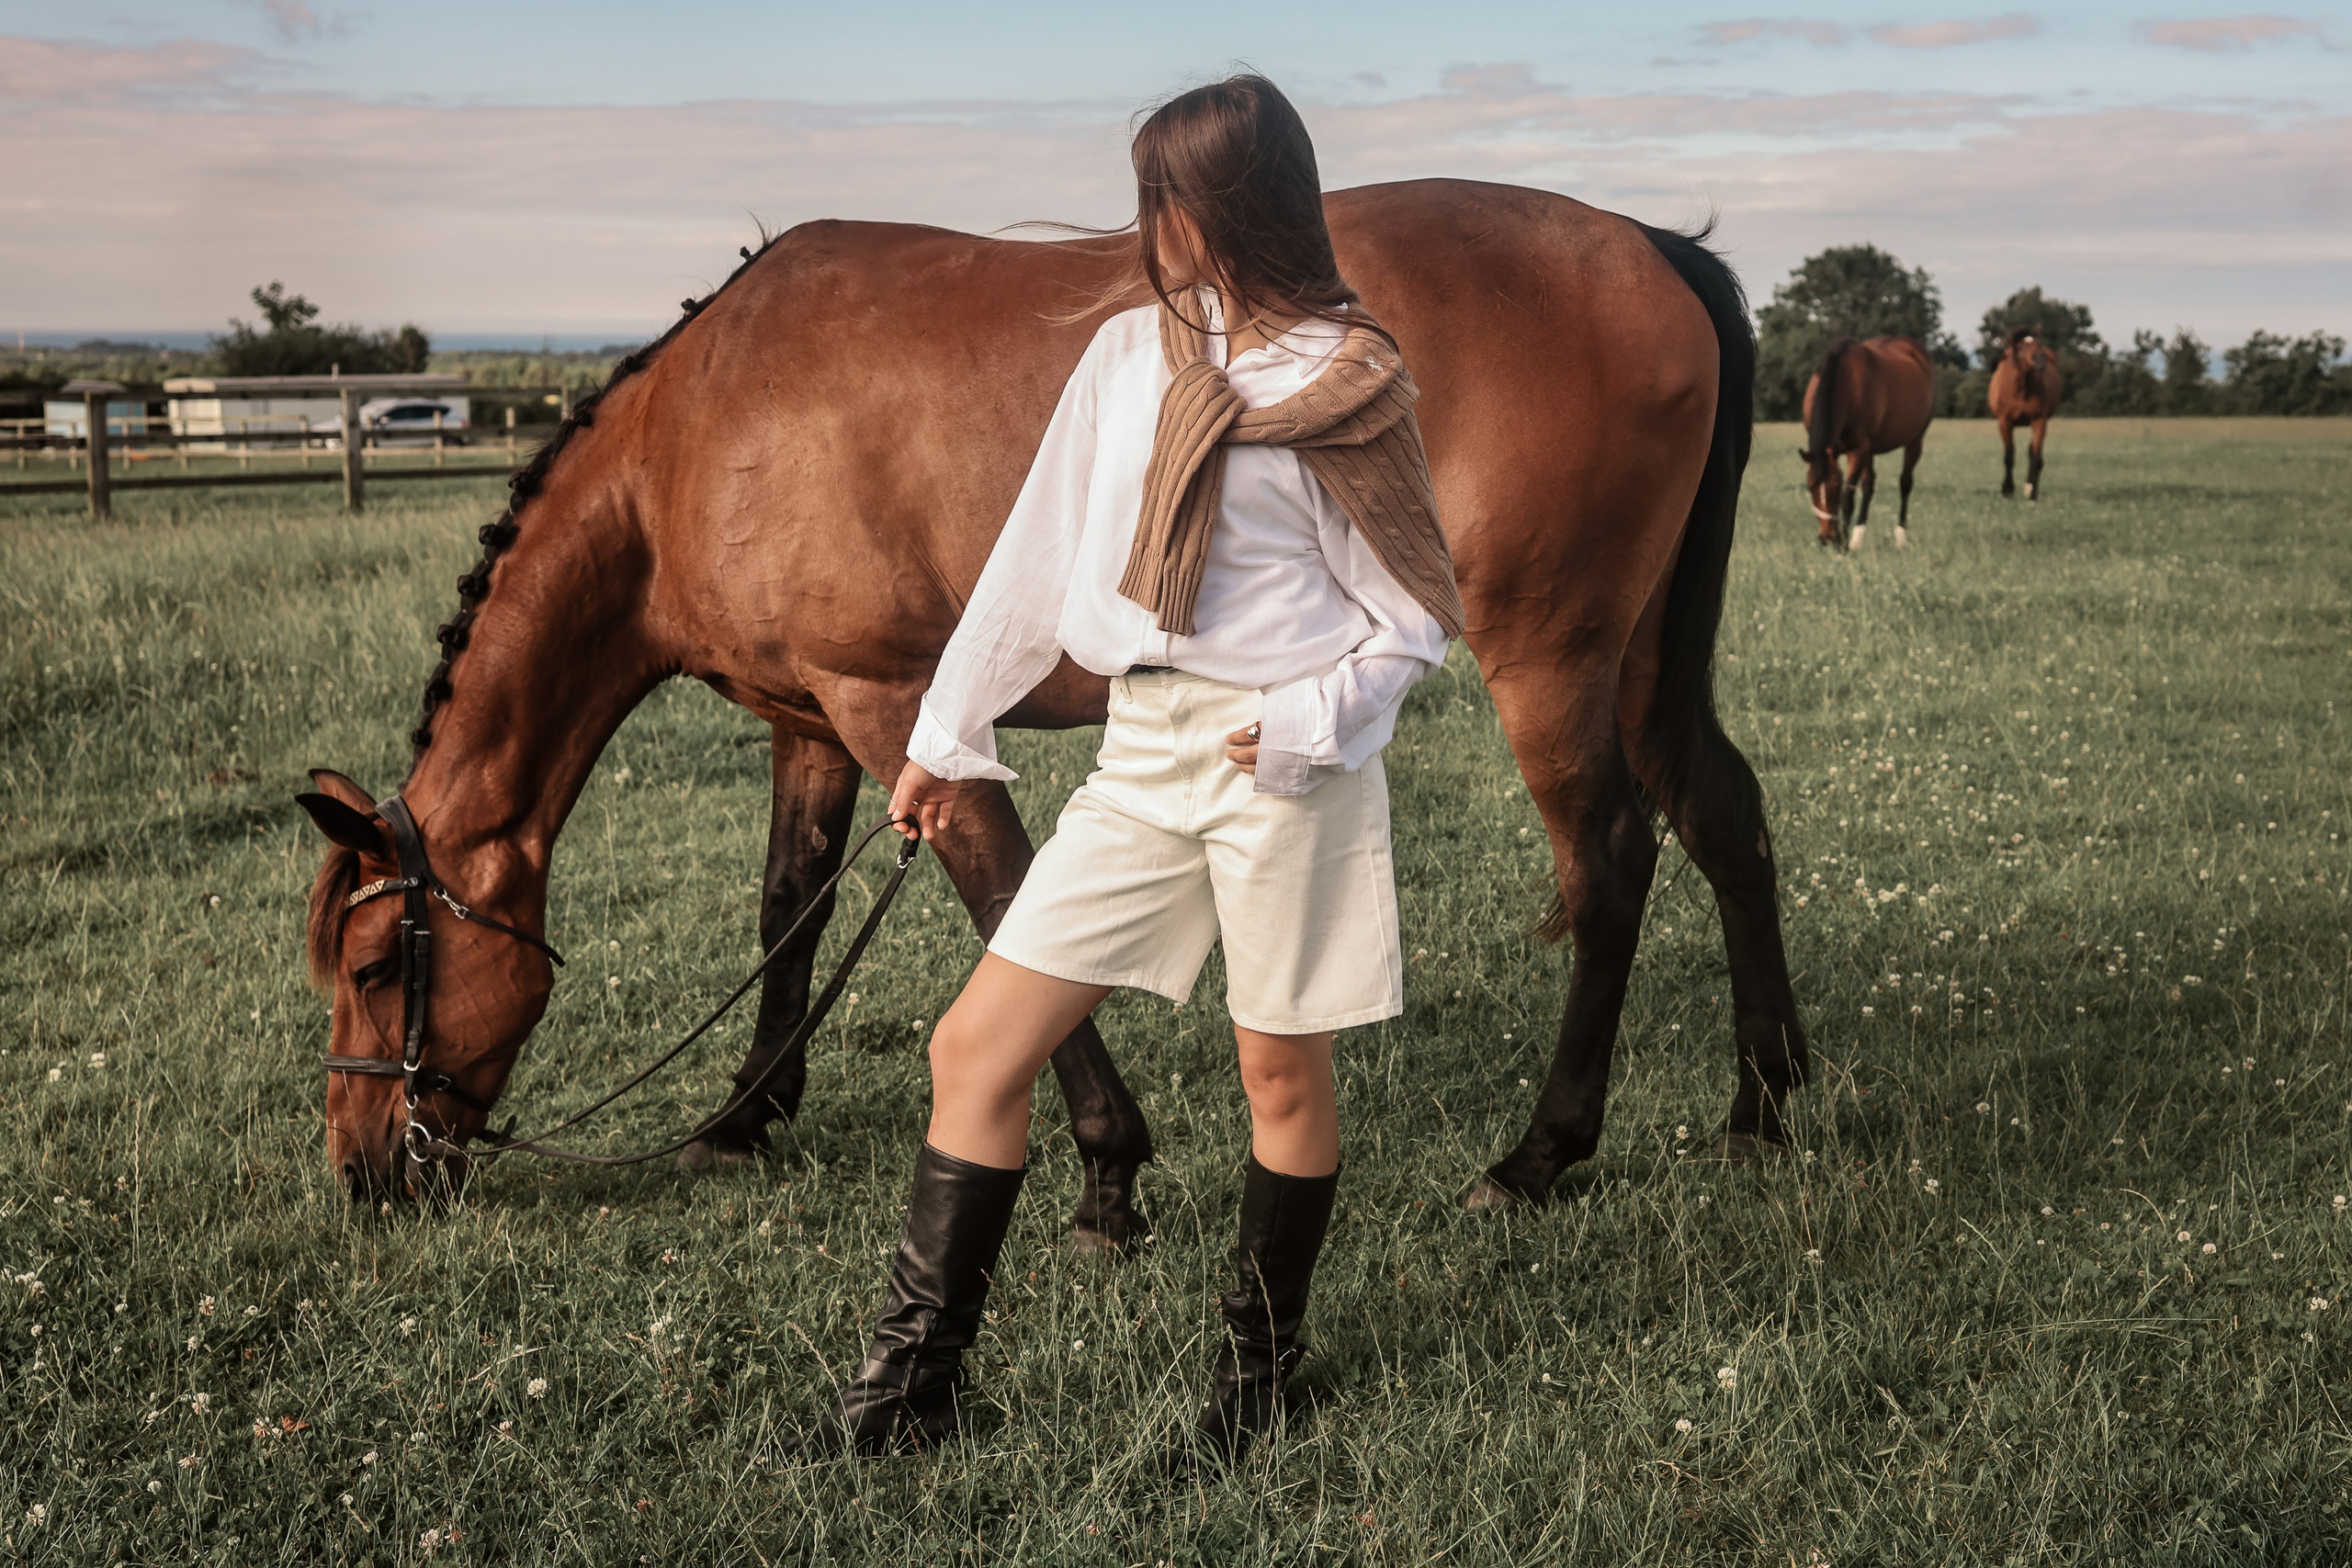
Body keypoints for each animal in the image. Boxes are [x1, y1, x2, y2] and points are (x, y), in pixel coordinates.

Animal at [296, 178, 1809, 1250]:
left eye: (374, 966)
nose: (363, 1173)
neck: (698, 432)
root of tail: (1643, 247)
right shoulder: (807, 722)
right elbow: (791, 905)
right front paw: (742, 1114)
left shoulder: (895, 706)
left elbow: (1005, 904)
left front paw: (1105, 1174)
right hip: (1636, 659)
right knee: (1725, 820)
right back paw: (1764, 1103)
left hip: (1550, 658)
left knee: (1609, 863)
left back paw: (1542, 1154)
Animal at [1798, 336, 1935, 551]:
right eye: (1810, 486)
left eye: (1835, 487)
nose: (1827, 537)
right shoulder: (1850, 450)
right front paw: (1847, 540)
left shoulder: (1857, 449)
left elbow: (1848, 498)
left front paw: (1843, 545)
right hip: (1870, 451)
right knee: (1869, 486)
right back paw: (1858, 537)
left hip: (1914, 441)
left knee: (1905, 483)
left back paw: (1900, 536)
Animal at [1987, 328, 2061, 500]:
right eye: (2019, 348)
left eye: (2038, 343)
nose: (2039, 360)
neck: (2021, 390)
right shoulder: (2005, 422)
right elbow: (2009, 456)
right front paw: (2007, 490)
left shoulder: (2039, 421)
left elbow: (2035, 456)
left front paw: (2032, 492)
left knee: (2034, 453)